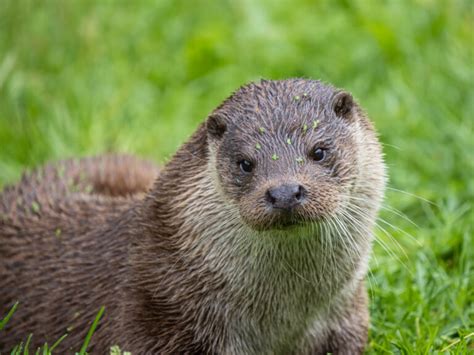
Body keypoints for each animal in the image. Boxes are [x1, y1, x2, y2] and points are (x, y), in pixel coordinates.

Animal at [0, 79, 386, 354]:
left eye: (319, 151)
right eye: (245, 163)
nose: (285, 191)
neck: (282, 320)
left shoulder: (345, 317)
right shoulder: (156, 315)